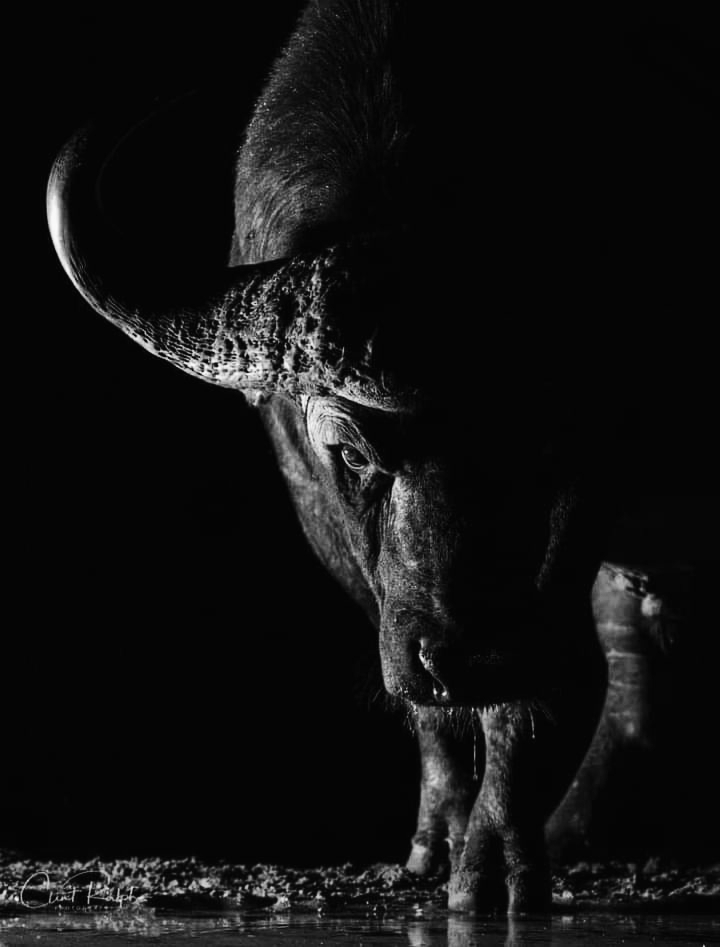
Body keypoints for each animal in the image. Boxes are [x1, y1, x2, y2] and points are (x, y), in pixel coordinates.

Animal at [47, 2, 718, 913]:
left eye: (543, 446)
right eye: (350, 450)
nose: (460, 654)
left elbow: (527, 692)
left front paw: (496, 858)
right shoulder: (316, 501)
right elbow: (426, 694)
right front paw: (440, 840)